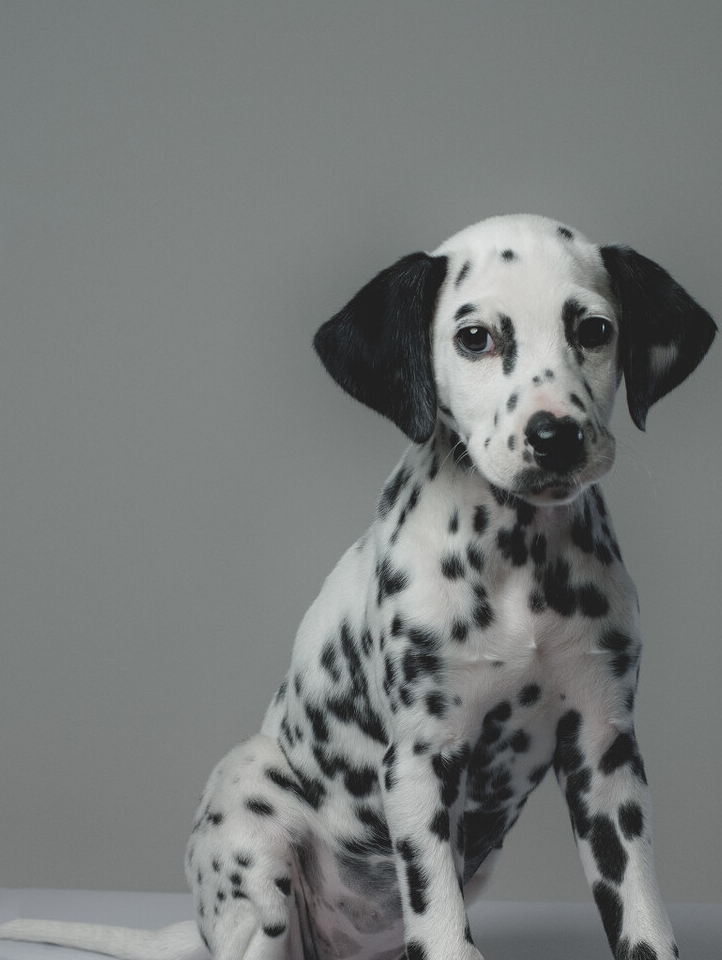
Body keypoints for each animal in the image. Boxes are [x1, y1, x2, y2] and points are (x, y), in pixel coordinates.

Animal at [2, 218, 716, 960]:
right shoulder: (420, 762)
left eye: (595, 330)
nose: (556, 435)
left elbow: (641, 916)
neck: (519, 561)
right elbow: (443, 929)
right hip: (253, 817)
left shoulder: (605, 757)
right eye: (475, 338)